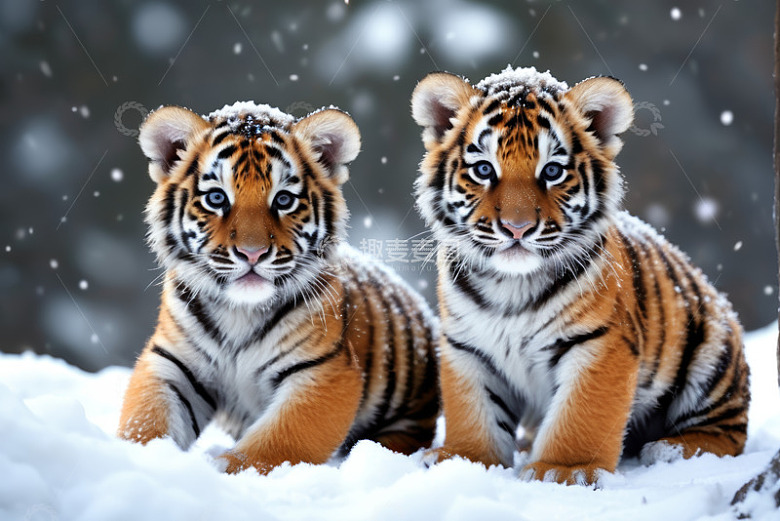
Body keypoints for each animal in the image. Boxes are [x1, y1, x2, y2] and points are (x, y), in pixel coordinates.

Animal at [117, 101, 439, 474]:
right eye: (217, 198)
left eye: (284, 200)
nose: (252, 253)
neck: (240, 311)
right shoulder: (171, 361)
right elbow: (145, 421)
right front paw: (140, 459)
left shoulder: (324, 372)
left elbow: (275, 441)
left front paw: (221, 468)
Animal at [410, 66, 750, 485]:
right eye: (484, 170)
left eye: (552, 171)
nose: (517, 228)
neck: (511, 286)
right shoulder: (468, 346)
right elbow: (474, 410)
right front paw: (463, 459)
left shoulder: (600, 341)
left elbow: (580, 412)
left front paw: (564, 470)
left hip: (710, 351)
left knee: (729, 432)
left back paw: (671, 450)